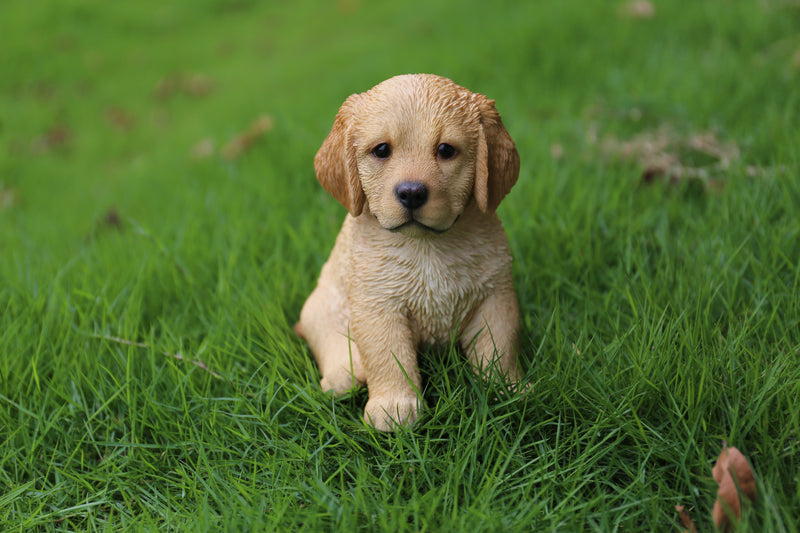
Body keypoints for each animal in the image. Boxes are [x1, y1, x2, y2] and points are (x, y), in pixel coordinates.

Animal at [296, 75, 520, 430]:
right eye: (382, 150)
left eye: (446, 150)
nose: (412, 193)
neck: (425, 247)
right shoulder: (378, 306)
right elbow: (388, 357)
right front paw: (395, 408)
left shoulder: (496, 297)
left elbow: (499, 346)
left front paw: (507, 388)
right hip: (318, 308)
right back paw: (346, 372)